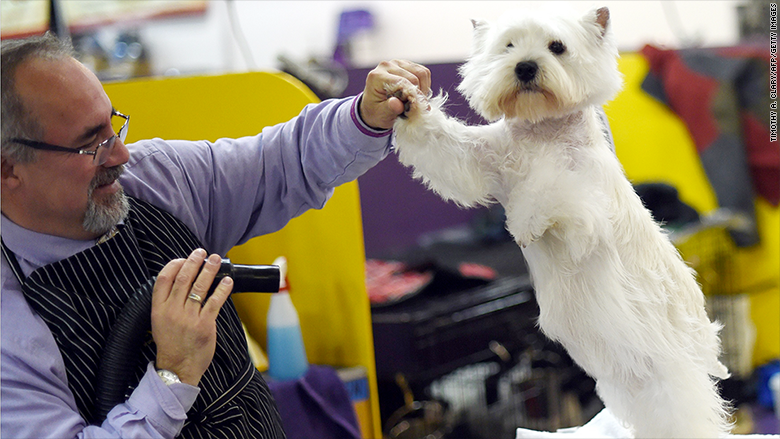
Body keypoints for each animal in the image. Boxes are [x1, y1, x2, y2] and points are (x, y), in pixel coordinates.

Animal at [394, 6, 736, 439]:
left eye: (556, 46)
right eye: (508, 45)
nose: (525, 67)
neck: (542, 131)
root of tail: (705, 335)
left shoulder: (583, 204)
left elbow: (548, 192)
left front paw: (524, 224)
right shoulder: (478, 162)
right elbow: (445, 144)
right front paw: (409, 102)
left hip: (671, 374)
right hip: (630, 377)